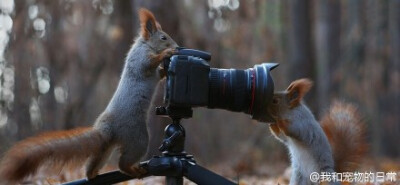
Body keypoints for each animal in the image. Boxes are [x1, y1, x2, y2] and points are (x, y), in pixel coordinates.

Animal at [0, 7, 178, 184]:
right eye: (163, 37)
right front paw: (166, 53)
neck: (145, 44)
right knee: (123, 163)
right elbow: (148, 63)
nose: (177, 46)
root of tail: (107, 129)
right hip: (138, 138)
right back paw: (136, 170)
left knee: (96, 161)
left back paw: (91, 174)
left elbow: (159, 74)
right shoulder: (140, 58)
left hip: (105, 148)